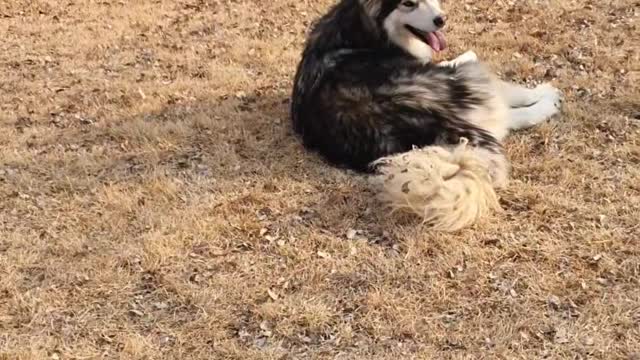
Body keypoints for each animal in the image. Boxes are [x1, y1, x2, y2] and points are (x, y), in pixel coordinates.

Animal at [290, 0, 564, 231]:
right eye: (408, 3)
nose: (442, 20)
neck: (361, 29)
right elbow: (472, 63)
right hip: (463, 82)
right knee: (509, 113)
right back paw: (548, 99)